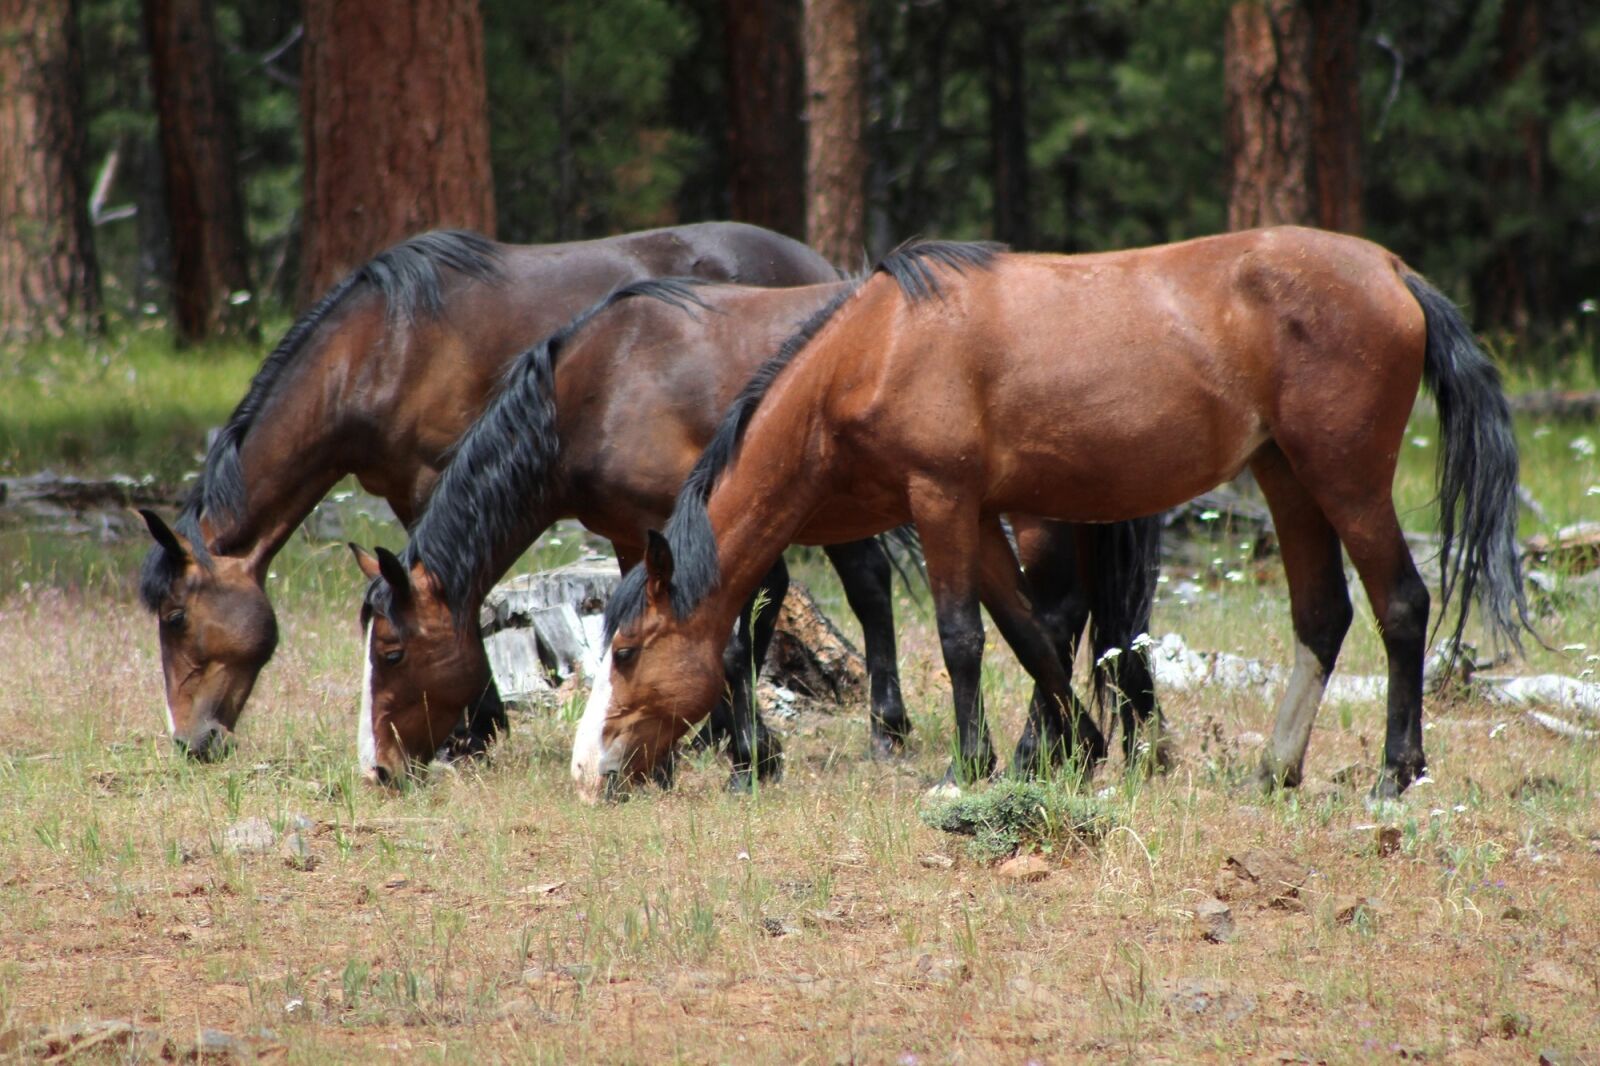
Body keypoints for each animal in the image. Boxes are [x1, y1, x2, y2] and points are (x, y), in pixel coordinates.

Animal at [352, 276, 1163, 786]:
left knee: (1055, 616)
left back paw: (1036, 751)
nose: (378, 769)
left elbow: (731, 641)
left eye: (390, 654)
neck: (599, 384)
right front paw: (719, 747)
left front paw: (739, 754)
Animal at [572, 227, 1531, 802]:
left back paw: (1395, 773)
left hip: (1346, 480)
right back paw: (1273, 768)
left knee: (1401, 604)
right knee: (1322, 615)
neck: (877, 345)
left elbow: (963, 636)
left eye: (628, 652)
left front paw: (973, 765)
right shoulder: (980, 513)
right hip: (1286, 477)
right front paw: (1078, 747)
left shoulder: (943, 499)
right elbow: (1032, 635)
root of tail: (1391, 271)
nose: (588, 771)